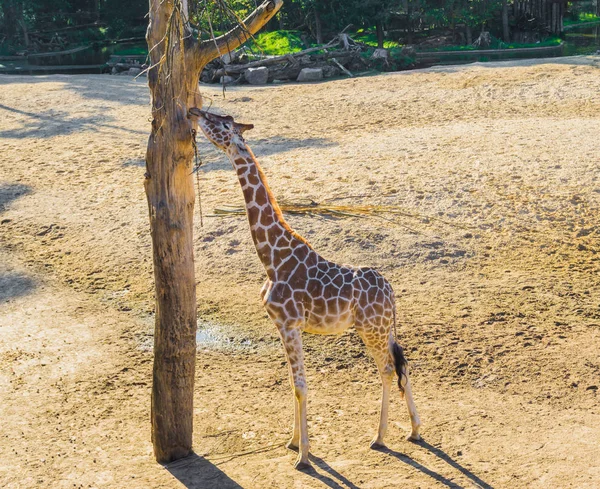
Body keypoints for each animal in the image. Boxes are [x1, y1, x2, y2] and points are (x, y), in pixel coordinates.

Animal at [189, 107, 422, 468]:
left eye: (223, 123)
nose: (194, 111)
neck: (272, 257)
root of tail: (392, 293)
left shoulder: (289, 324)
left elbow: (301, 386)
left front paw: (304, 456)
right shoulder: (283, 326)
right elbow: (291, 383)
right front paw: (292, 441)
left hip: (371, 330)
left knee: (386, 370)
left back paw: (379, 437)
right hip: (382, 329)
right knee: (402, 365)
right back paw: (414, 430)